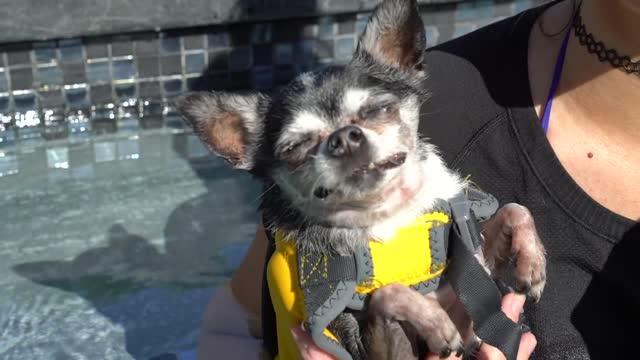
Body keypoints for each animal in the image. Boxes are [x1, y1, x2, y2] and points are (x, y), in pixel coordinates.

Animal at [176, 0, 544, 356]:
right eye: (295, 147)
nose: (343, 138)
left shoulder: (475, 257)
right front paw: (436, 322)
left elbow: (515, 209)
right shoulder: (369, 345)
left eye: (376, 110)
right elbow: (388, 293)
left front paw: (532, 263)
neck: (388, 214)